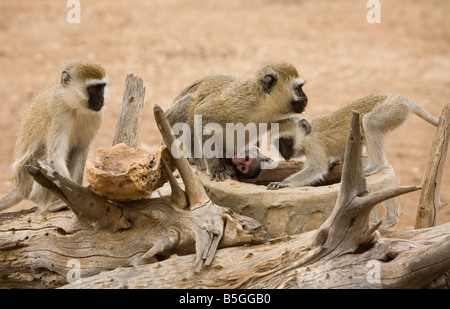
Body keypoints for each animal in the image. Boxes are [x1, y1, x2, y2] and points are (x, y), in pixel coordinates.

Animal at [0, 59, 108, 211]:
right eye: (93, 89)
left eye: (101, 87)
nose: (101, 101)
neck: (75, 107)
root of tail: (19, 187)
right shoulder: (59, 113)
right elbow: (55, 156)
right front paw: (78, 196)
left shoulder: (97, 115)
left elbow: (80, 149)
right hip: (25, 177)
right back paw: (47, 204)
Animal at [165, 62, 310, 180]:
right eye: (298, 88)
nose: (306, 98)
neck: (262, 104)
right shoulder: (235, 105)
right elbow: (202, 114)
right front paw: (215, 168)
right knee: (189, 105)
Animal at [268, 93, 438, 190]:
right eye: (278, 143)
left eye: (286, 141)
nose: (283, 153)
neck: (307, 135)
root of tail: (398, 98)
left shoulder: (313, 145)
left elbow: (317, 168)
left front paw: (284, 183)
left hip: (393, 110)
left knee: (369, 121)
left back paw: (375, 165)